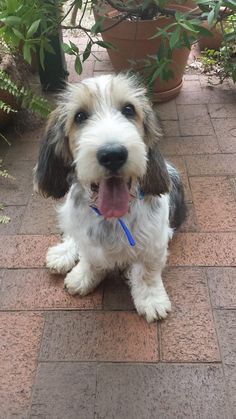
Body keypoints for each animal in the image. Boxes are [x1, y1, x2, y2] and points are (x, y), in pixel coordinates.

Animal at [34, 74, 186, 324]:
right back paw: (63, 254)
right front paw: (84, 276)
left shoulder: (155, 240)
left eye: (129, 109)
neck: (112, 218)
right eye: (80, 116)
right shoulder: (88, 239)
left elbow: (147, 272)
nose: (113, 154)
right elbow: (90, 258)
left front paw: (152, 300)